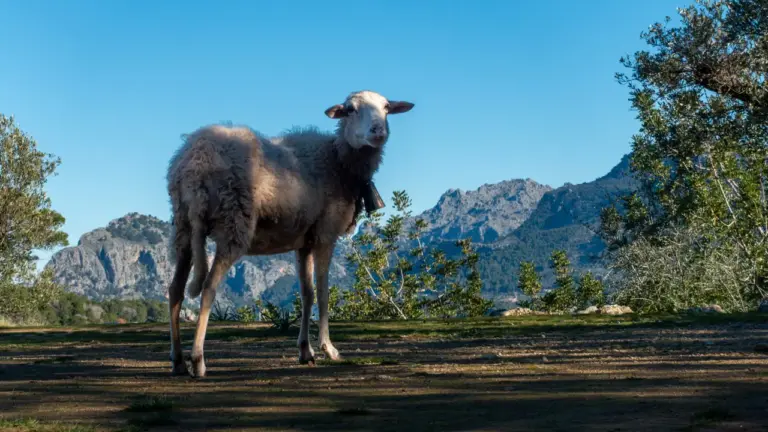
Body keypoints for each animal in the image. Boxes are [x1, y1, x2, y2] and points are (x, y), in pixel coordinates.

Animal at [165, 90, 415, 377]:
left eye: (386, 107)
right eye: (350, 109)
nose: (378, 131)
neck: (338, 161)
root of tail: (194, 163)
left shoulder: (304, 241)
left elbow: (307, 293)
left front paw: (306, 351)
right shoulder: (326, 233)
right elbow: (324, 291)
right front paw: (329, 348)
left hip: (183, 227)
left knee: (175, 290)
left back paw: (178, 361)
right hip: (233, 223)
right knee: (208, 288)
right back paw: (198, 360)